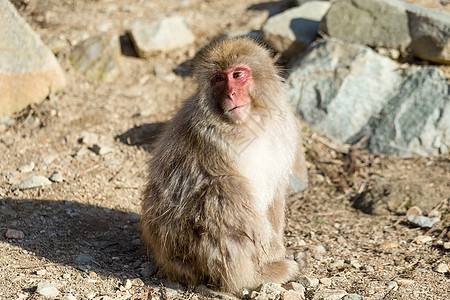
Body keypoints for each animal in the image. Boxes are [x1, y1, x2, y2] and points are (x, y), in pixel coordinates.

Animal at [141, 37, 302, 292]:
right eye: (219, 79)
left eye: (237, 75)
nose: (231, 94)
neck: (249, 122)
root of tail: (163, 258)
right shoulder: (210, 138)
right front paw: (273, 257)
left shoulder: (283, 128)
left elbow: (276, 192)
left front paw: (278, 250)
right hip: (183, 250)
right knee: (226, 188)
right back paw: (254, 277)